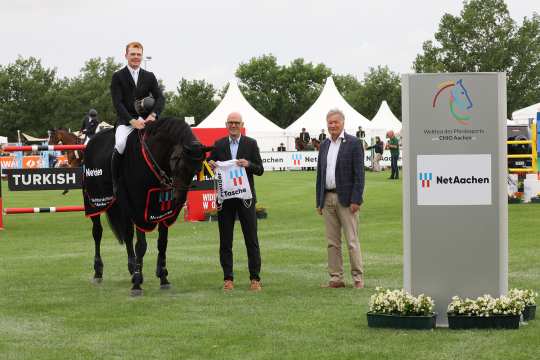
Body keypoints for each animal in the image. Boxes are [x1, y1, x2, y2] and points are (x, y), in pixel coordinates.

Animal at [83, 118, 211, 296]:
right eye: (178, 161)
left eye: (197, 169)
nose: (179, 199)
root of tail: (92, 140)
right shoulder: (139, 206)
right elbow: (141, 245)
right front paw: (137, 284)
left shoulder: (162, 209)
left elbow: (162, 243)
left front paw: (163, 278)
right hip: (95, 202)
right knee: (97, 232)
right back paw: (98, 271)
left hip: (123, 206)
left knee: (128, 235)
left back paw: (132, 268)